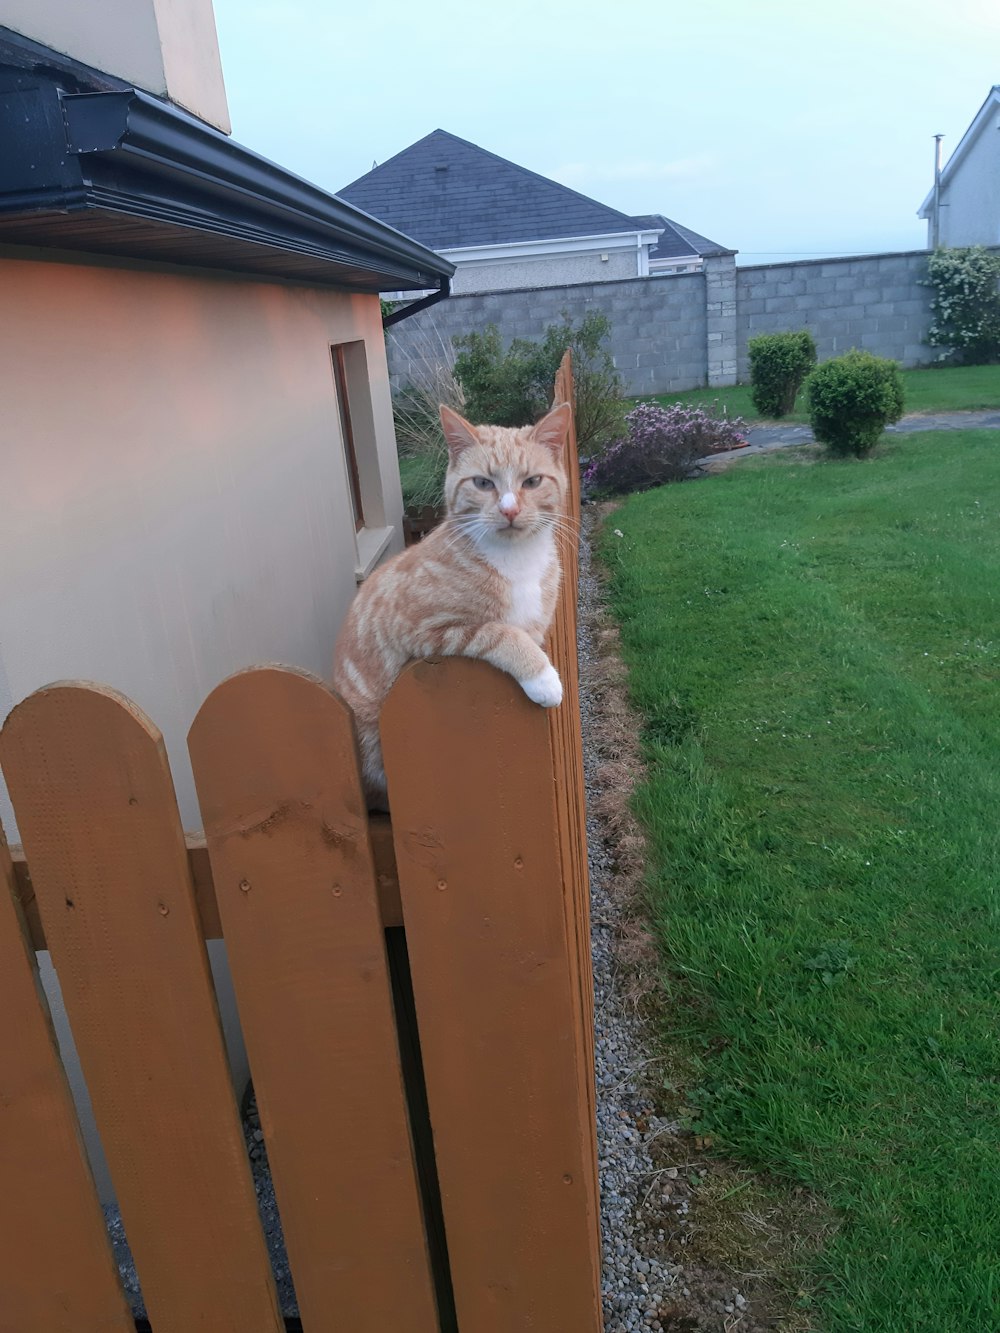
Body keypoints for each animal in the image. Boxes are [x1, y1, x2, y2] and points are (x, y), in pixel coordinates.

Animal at [333, 399, 570, 799]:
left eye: (532, 482)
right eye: (483, 483)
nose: (509, 509)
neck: (516, 560)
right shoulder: (426, 630)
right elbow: (502, 634)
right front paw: (543, 678)